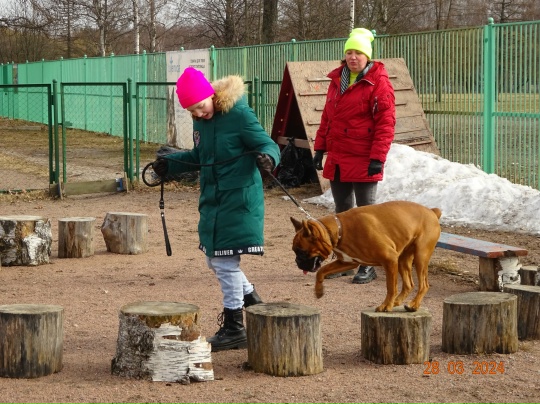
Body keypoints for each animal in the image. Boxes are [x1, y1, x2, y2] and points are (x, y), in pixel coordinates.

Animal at [290, 200, 442, 312]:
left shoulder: (389, 259)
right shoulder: (347, 262)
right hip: (403, 259)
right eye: (294, 251)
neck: (340, 229)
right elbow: (321, 271)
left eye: (302, 252)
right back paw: (398, 302)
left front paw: (386, 305)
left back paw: (413, 305)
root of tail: (432, 211)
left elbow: (391, 287)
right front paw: (319, 291)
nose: (297, 261)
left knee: (424, 285)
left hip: (420, 256)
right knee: (409, 284)